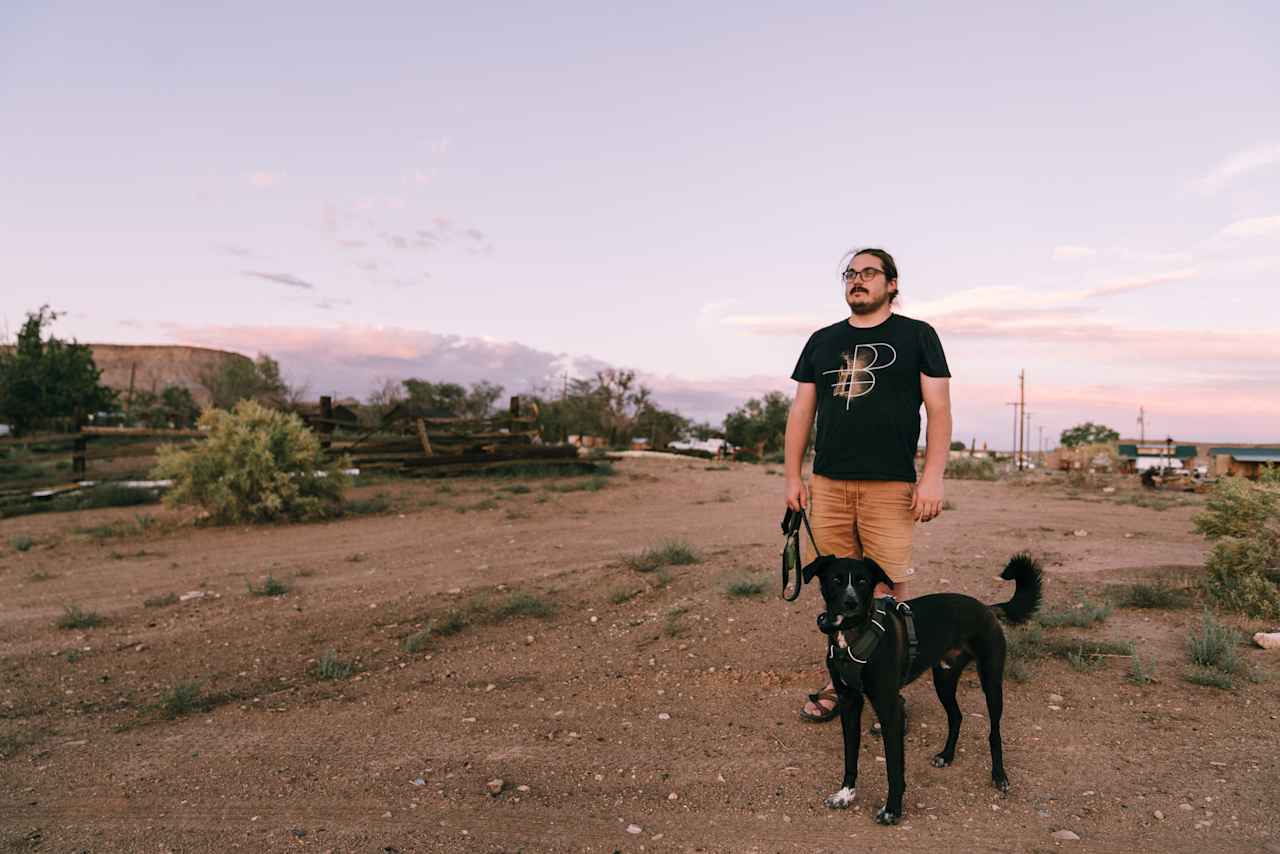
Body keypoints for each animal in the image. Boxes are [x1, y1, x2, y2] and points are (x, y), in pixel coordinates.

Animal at [798, 550, 1039, 824]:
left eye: (863, 581)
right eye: (836, 580)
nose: (850, 603)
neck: (853, 634)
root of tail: (987, 608)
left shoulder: (889, 710)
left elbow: (894, 768)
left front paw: (892, 810)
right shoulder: (849, 703)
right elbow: (851, 756)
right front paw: (845, 795)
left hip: (991, 682)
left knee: (994, 732)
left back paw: (999, 775)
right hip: (944, 680)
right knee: (956, 716)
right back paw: (946, 756)